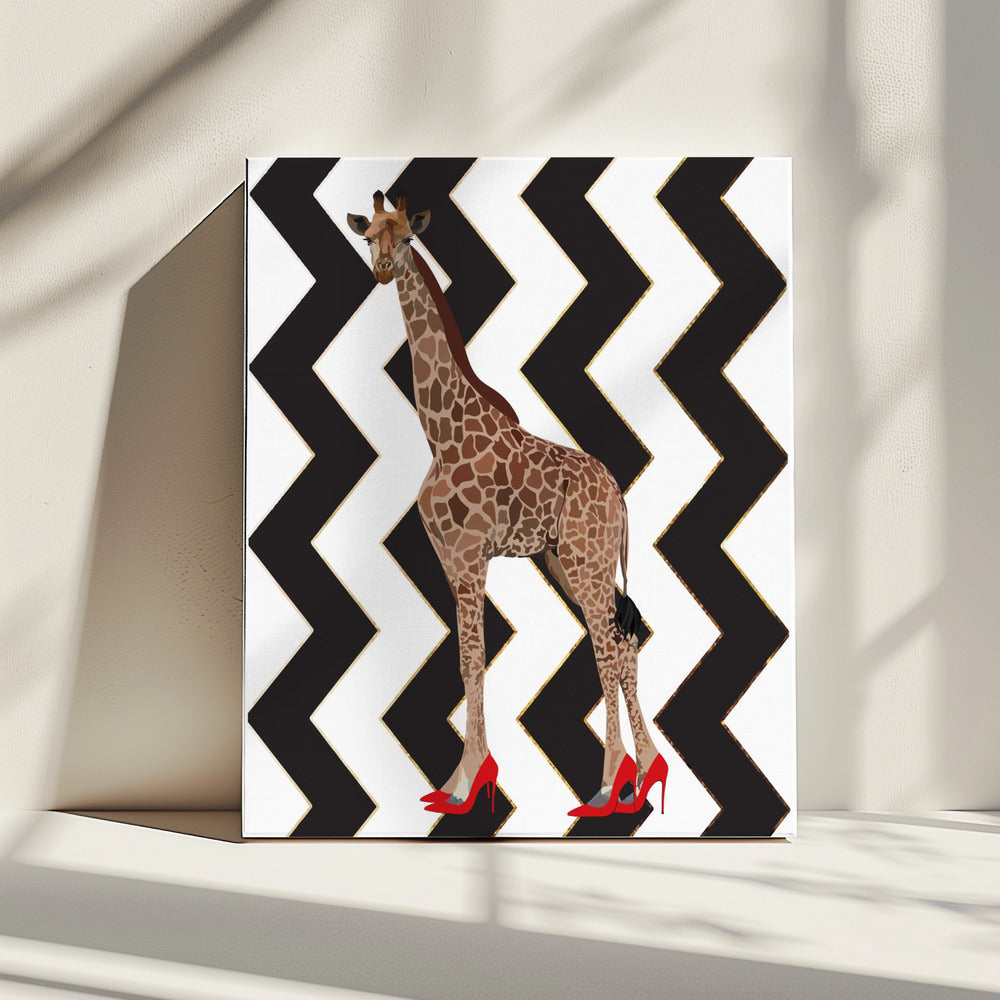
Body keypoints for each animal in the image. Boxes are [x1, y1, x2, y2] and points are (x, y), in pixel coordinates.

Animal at [347, 190, 667, 817]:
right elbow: (464, 659)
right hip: (565, 561)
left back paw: (607, 787)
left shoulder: (472, 556)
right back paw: (643, 775)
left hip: (587, 562)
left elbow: (474, 657)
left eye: (409, 236)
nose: (382, 270)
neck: (439, 433)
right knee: (624, 638)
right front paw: (455, 781)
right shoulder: (450, 558)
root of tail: (620, 495)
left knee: (608, 647)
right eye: (369, 235)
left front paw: (469, 783)